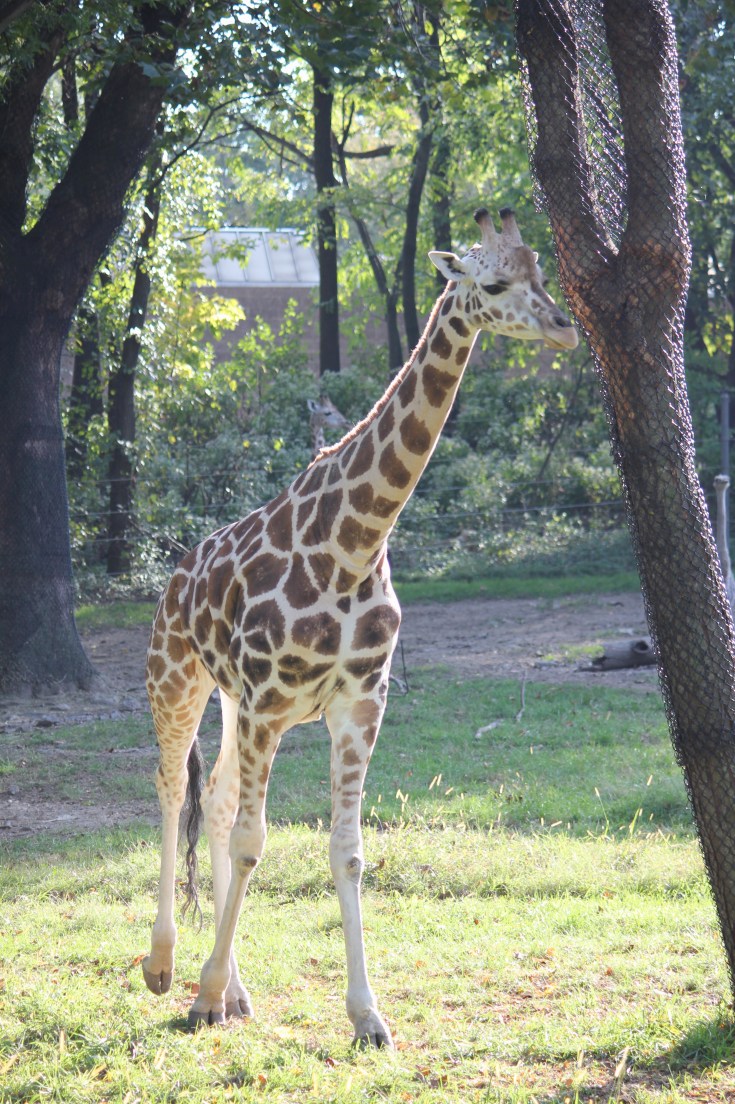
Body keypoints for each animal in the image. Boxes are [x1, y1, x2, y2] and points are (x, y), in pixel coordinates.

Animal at [142, 206, 578, 1047]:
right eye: (492, 284)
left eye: (541, 272)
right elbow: (253, 842)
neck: (353, 544)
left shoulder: (357, 705)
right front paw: (201, 993)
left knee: (215, 797)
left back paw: (235, 990)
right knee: (173, 789)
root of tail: (176, 574)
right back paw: (165, 968)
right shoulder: (271, 705)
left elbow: (343, 850)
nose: (564, 327)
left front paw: (366, 1017)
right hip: (177, 681)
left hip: (233, 702)